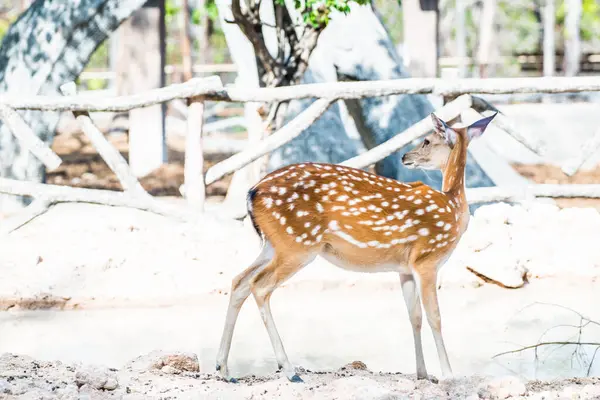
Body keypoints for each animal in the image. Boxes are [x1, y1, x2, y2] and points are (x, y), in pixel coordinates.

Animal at [216, 111, 496, 382]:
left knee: (239, 280)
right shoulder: (427, 258)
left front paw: (423, 374)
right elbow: (434, 316)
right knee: (260, 286)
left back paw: (224, 369)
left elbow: (414, 316)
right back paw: (289, 370)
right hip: (298, 244)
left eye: (427, 141)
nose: (405, 156)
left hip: (274, 244)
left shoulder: (405, 268)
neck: (454, 208)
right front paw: (449, 375)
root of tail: (251, 193)